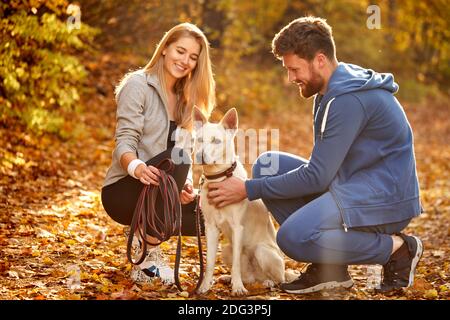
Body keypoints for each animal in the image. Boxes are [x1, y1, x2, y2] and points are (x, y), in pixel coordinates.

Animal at [193, 107, 296, 296]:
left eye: (216, 141)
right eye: (199, 139)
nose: (199, 155)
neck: (219, 178)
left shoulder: (237, 227)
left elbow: (236, 265)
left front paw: (238, 288)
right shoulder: (211, 227)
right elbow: (210, 262)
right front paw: (204, 286)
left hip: (264, 252)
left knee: (279, 279)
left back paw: (267, 282)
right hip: (227, 249)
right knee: (249, 277)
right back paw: (230, 279)